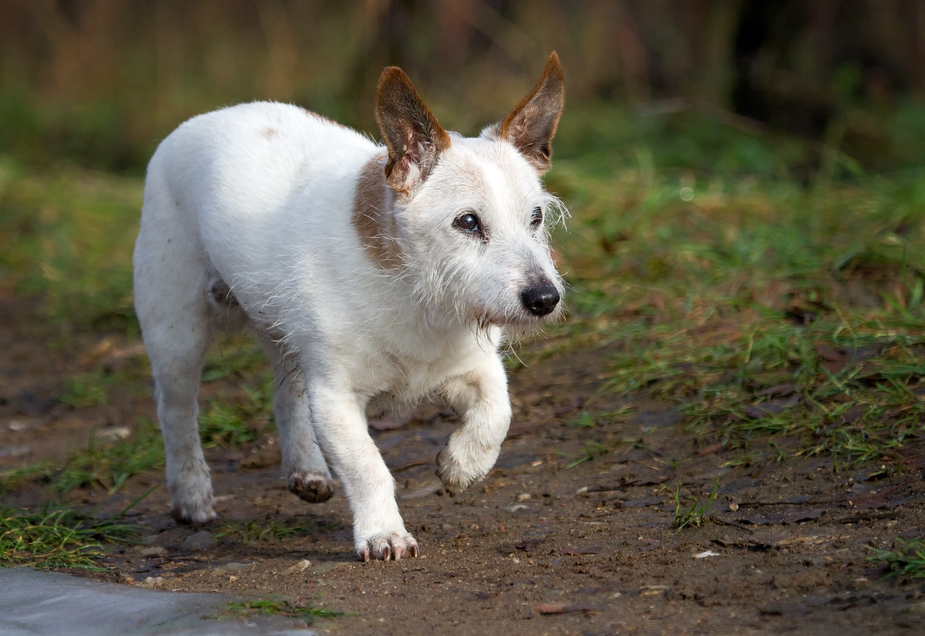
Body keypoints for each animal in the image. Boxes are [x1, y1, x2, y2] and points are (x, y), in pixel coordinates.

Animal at [130, 54, 564, 560]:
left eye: (536, 217)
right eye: (468, 222)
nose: (545, 298)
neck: (418, 294)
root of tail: (202, 120)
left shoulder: (475, 367)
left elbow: (498, 411)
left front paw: (462, 465)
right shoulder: (336, 397)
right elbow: (366, 464)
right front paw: (383, 533)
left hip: (287, 332)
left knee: (287, 393)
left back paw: (307, 469)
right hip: (176, 334)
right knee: (176, 413)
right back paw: (191, 495)